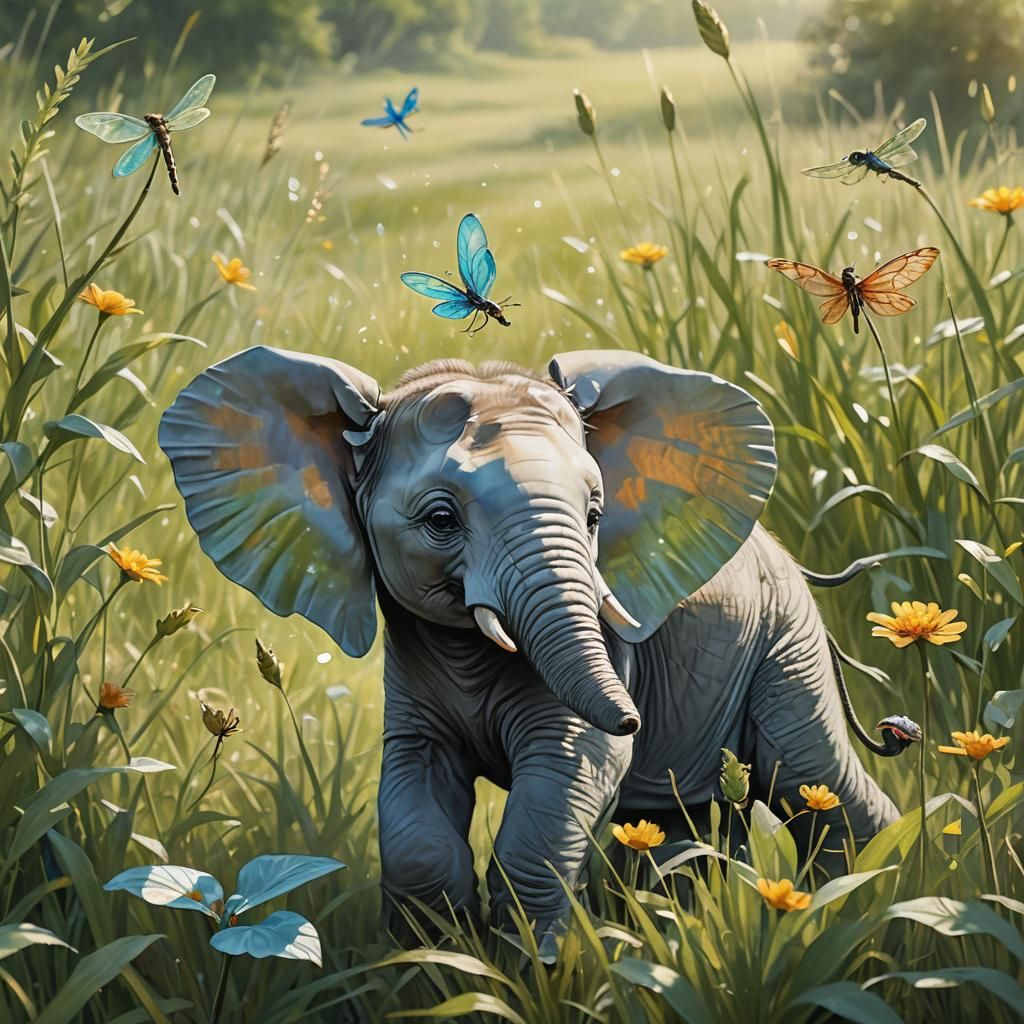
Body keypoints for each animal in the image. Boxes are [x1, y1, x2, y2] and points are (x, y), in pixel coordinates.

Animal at [159, 345, 918, 937]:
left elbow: (567, 778)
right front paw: (439, 967)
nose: (633, 717)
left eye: (595, 516)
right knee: (676, 827)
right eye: (441, 520)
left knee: (813, 782)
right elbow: (417, 829)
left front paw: (539, 966)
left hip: (784, 642)